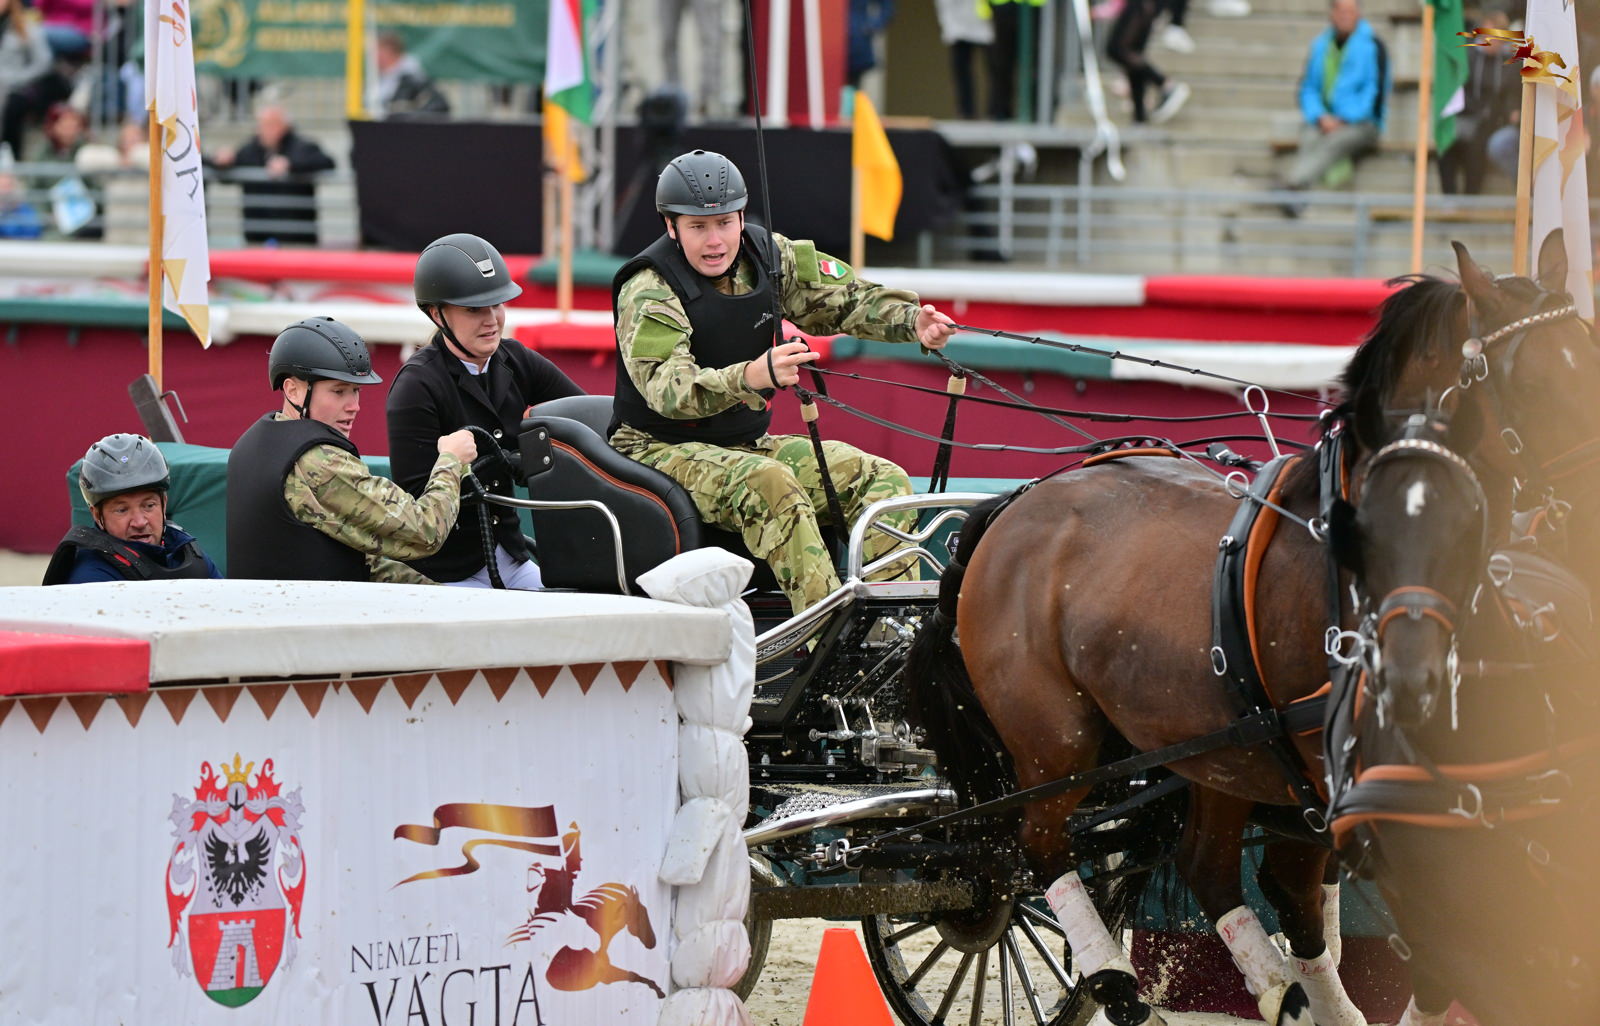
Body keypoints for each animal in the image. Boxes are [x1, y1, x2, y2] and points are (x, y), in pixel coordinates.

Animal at [903, 241, 1574, 1026]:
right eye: (1532, 380)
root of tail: (1008, 506)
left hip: (1222, 746)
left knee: (1214, 867)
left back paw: (1283, 989)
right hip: (1057, 740)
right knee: (1040, 845)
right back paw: (1122, 984)